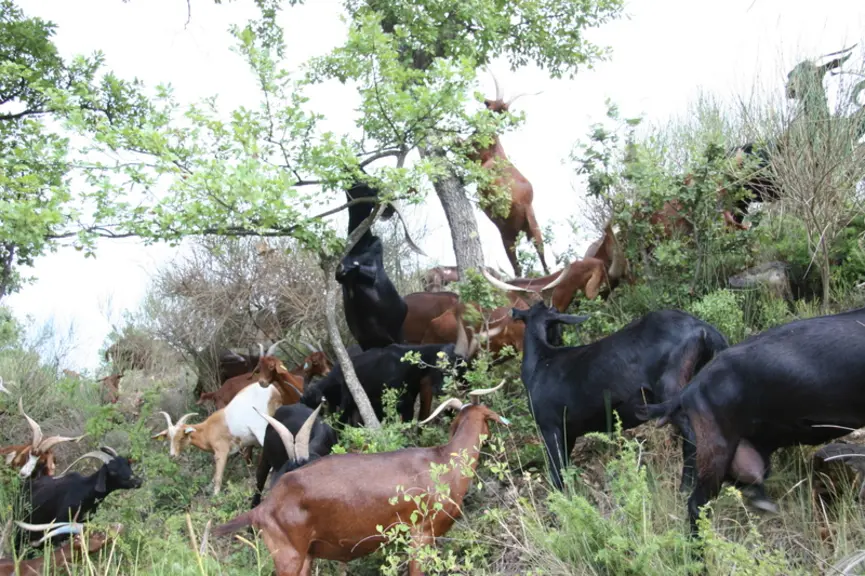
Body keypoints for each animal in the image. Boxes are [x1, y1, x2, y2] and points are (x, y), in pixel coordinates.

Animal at [486, 270, 728, 491]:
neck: (542, 360)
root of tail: (703, 330)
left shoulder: (550, 427)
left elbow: (558, 476)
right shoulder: (569, 432)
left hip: (671, 391)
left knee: (694, 436)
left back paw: (685, 489)